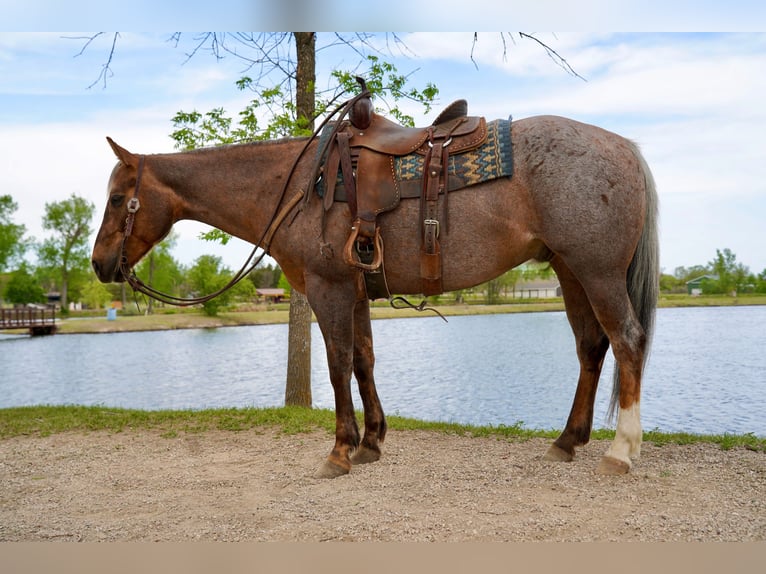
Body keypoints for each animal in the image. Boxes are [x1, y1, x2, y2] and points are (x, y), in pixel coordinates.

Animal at [91, 113, 659, 478]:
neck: (297, 185)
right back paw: (568, 441)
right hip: (570, 272)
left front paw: (340, 451)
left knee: (627, 341)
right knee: (592, 348)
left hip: (598, 272)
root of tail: (625, 147)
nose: (99, 264)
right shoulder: (357, 291)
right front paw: (371, 442)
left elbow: (338, 362)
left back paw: (621, 451)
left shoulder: (329, 288)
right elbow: (364, 359)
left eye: (118, 199)